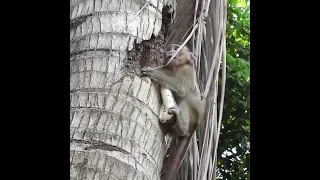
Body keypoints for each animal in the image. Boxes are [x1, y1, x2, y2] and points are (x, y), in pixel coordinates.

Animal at [141, 43, 206, 180]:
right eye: (169, 49)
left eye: (176, 49)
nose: (170, 52)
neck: (177, 67)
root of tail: (194, 128)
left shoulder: (188, 70)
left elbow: (181, 88)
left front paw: (151, 71)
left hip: (194, 116)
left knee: (185, 98)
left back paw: (182, 126)